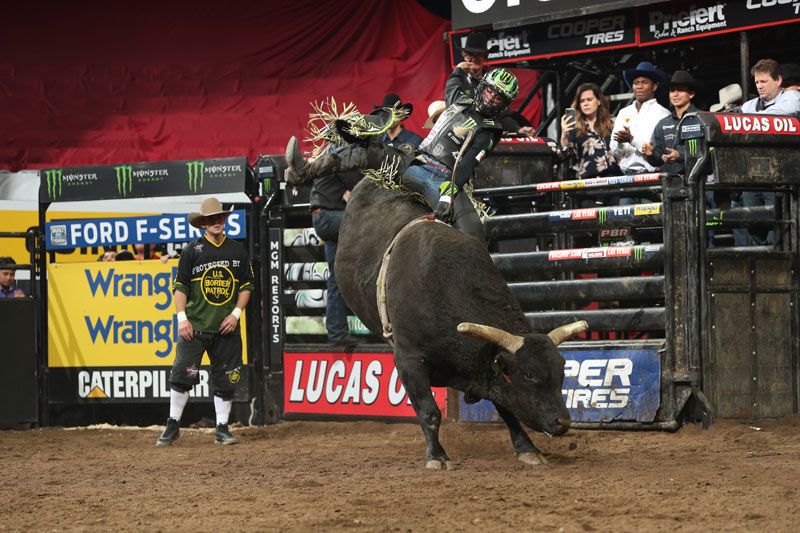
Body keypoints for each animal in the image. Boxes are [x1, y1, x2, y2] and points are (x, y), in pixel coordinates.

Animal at [332, 180, 588, 470]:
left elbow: (507, 408)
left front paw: (527, 449)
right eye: (529, 374)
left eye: (562, 372)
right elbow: (430, 412)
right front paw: (437, 456)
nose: (563, 422)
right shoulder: (408, 360)